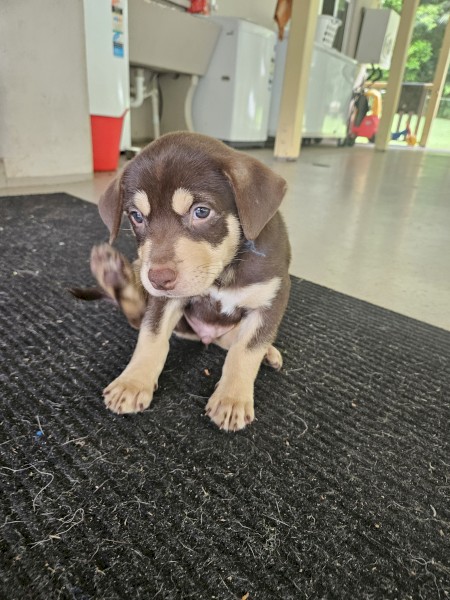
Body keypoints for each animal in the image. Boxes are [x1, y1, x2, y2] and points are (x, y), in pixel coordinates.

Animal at [74, 131, 292, 432]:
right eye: (137, 216)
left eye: (201, 212)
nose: (157, 279)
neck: (223, 272)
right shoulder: (163, 301)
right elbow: (151, 337)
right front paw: (133, 383)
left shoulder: (270, 299)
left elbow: (245, 351)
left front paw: (232, 399)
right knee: (136, 315)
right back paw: (111, 271)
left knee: (233, 341)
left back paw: (268, 353)